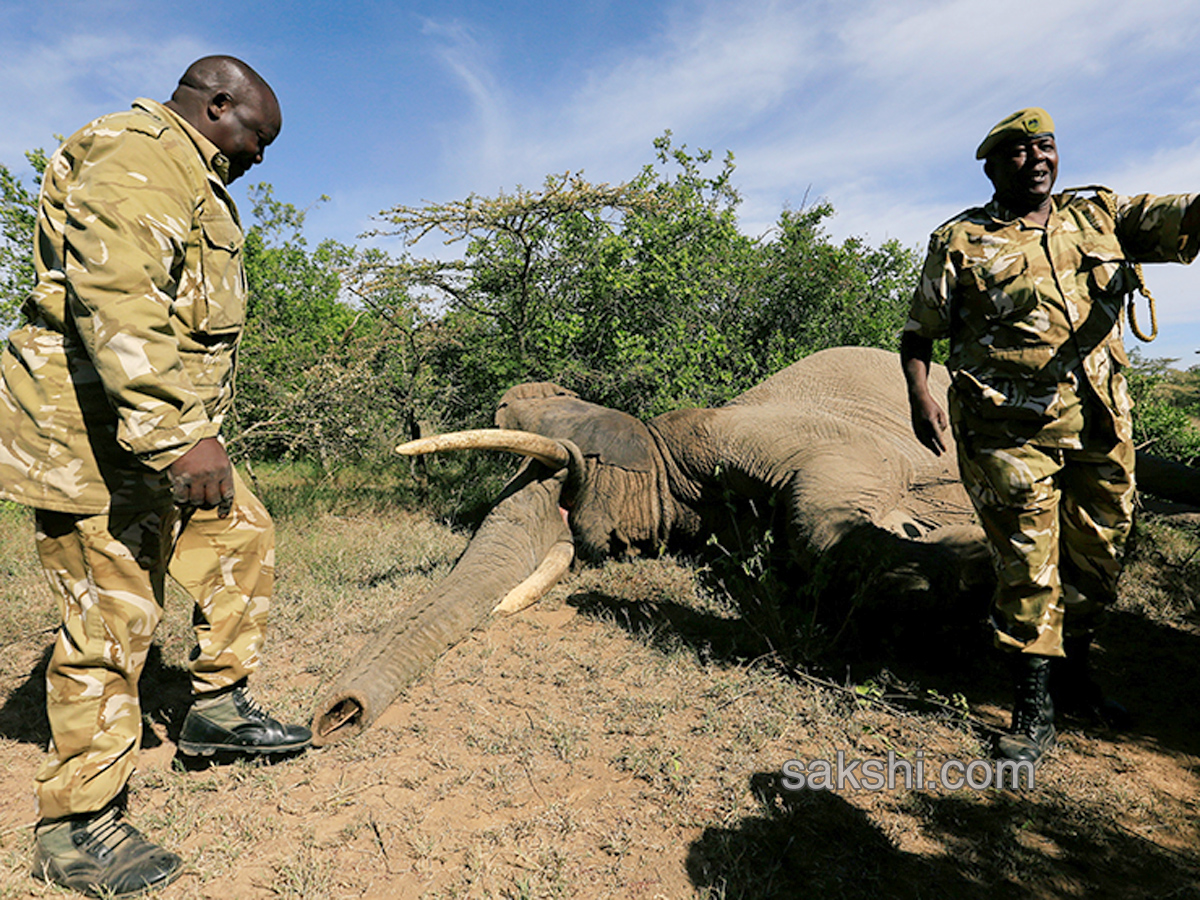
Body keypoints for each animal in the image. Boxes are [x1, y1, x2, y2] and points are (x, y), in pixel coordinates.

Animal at [312, 345, 1200, 748]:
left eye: (566, 481)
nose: (334, 717)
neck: (663, 444)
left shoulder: (759, 436)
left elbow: (822, 518)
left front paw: (978, 571)